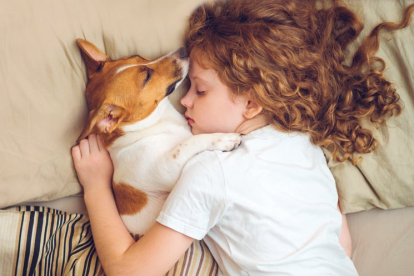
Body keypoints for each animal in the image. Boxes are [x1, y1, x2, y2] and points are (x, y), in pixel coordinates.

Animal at [76, 40, 241, 236]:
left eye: (138, 56)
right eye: (147, 76)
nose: (184, 50)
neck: (152, 125)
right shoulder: (168, 168)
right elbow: (189, 142)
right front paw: (223, 138)